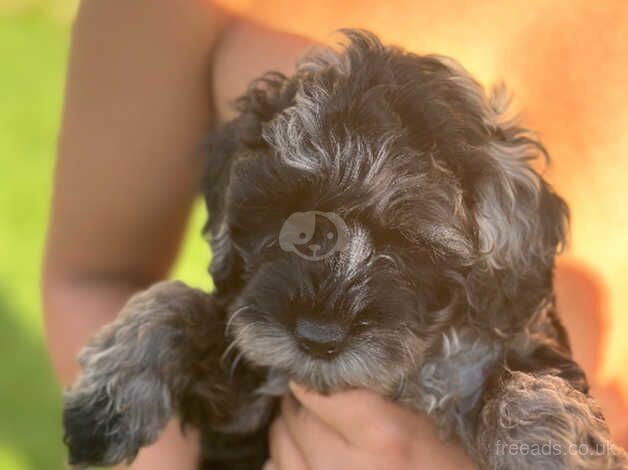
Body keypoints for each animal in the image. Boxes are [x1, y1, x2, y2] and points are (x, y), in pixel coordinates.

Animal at [61, 30, 624, 470]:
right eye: (288, 220)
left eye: (407, 239)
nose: (318, 338)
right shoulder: (244, 410)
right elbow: (176, 300)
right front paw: (108, 395)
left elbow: (526, 384)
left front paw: (543, 448)